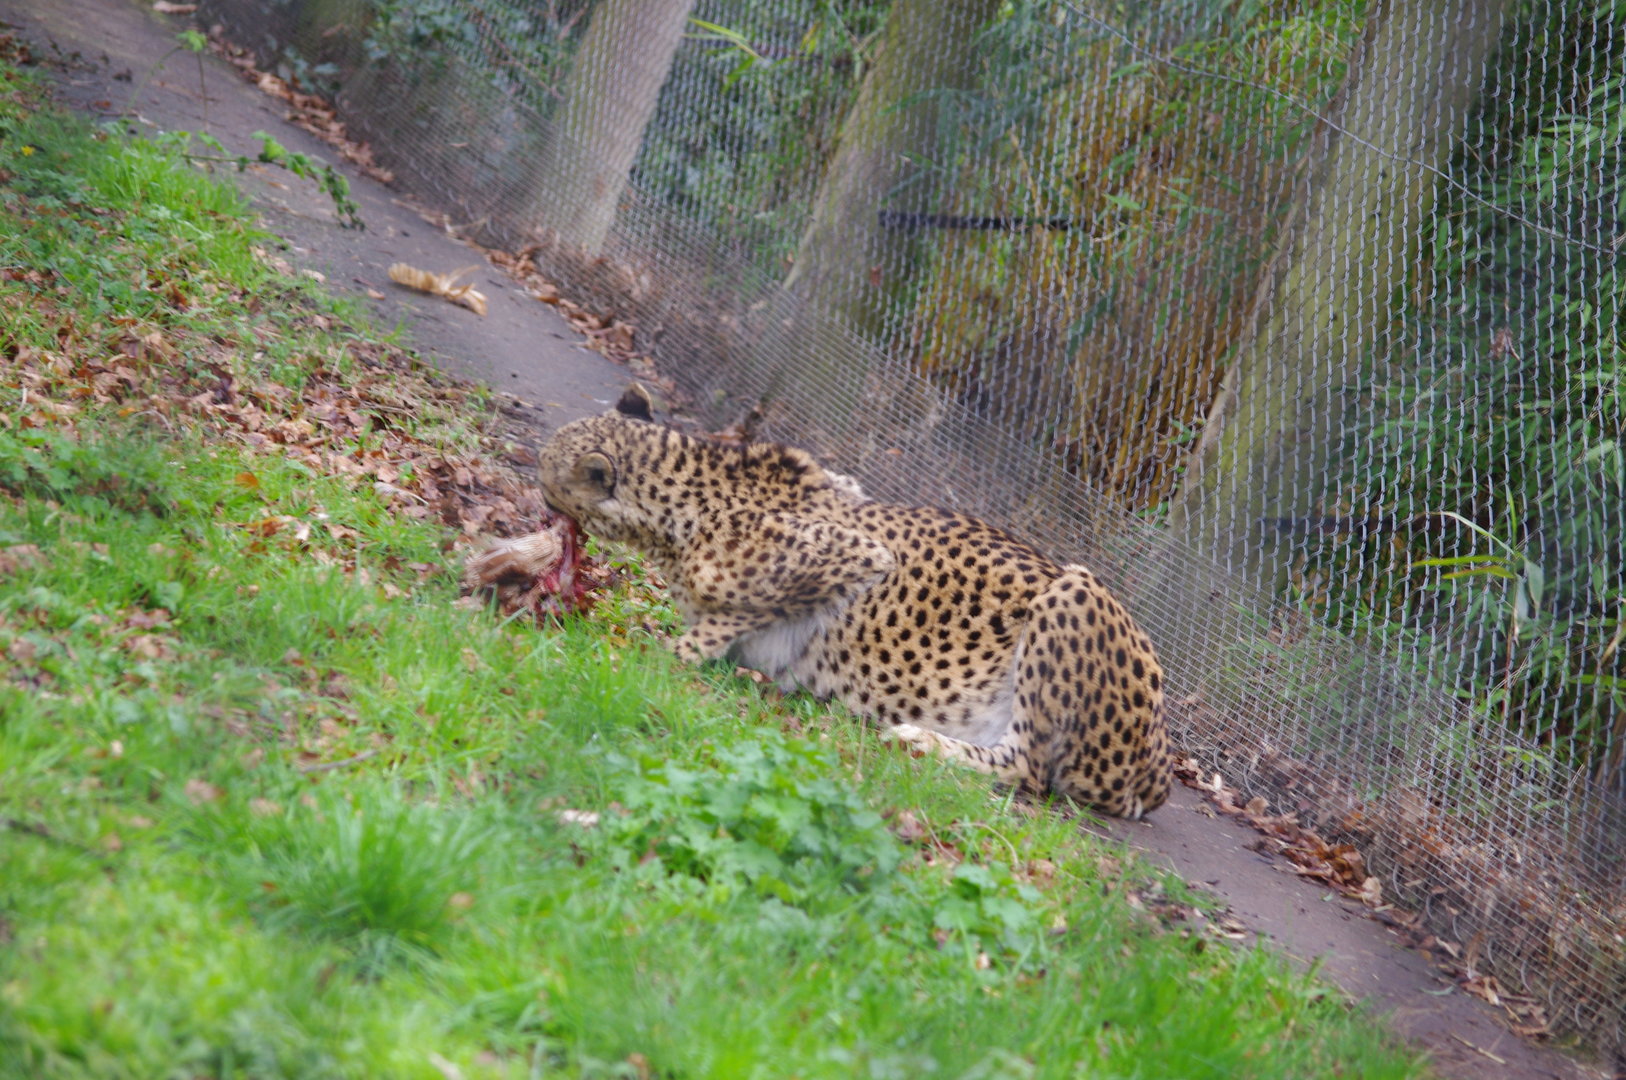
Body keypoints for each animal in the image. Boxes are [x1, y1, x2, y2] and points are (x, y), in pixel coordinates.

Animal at [533, 385, 1171, 818]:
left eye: (546, 479)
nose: (541, 504)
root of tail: (1159, 766)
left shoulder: (856, 554)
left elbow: (738, 613)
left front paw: (668, 651)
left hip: (1076, 589)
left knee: (1030, 769)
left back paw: (922, 740)